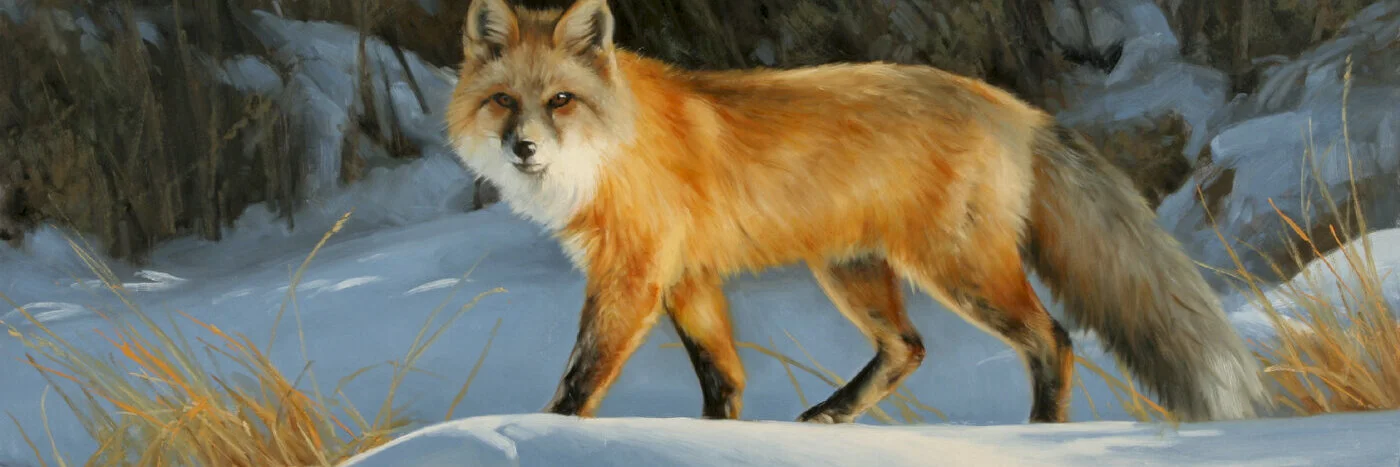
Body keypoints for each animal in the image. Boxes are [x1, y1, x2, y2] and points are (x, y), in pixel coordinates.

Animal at [445, 0, 1271, 424]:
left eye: (560, 100)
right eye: (503, 102)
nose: (522, 147)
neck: (614, 147)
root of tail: (1013, 106)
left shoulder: (634, 274)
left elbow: (580, 380)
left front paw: (538, 433)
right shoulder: (688, 277)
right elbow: (723, 379)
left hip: (959, 270)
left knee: (1054, 339)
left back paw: (1040, 434)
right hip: (853, 270)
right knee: (909, 348)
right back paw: (832, 414)